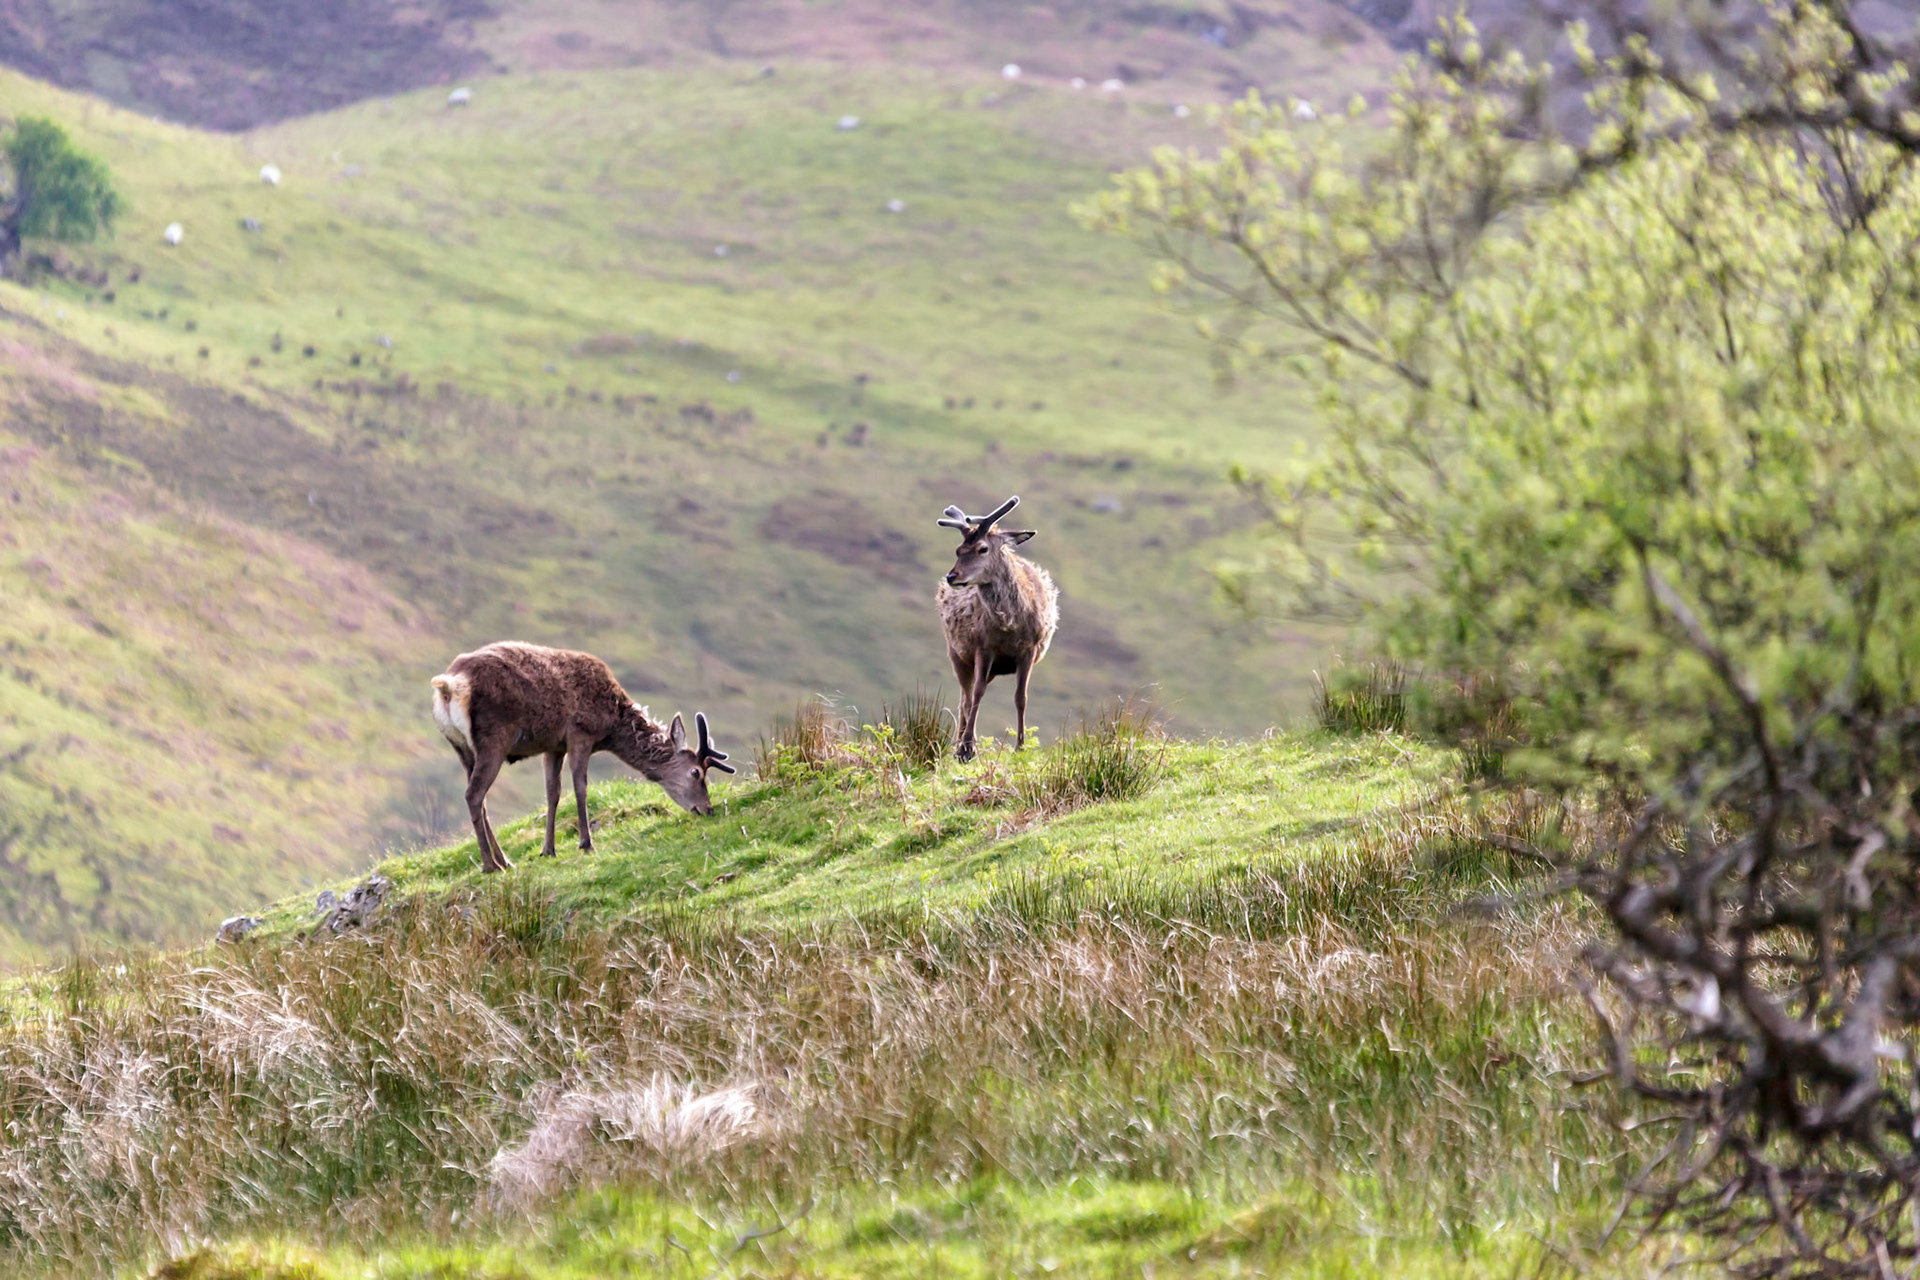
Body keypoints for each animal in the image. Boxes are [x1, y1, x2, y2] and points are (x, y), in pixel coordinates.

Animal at [430, 641, 735, 873]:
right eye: (696, 772)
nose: (708, 809)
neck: (611, 725)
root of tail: (448, 685)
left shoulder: (553, 745)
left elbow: (552, 794)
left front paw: (548, 850)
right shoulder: (580, 733)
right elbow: (580, 787)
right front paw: (586, 843)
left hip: (462, 748)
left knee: (479, 799)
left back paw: (504, 860)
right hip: (493, 739)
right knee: (473, 795)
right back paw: (489, 865)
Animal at [937, 495, 1060, 762]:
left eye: (982, 548)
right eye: (958, 550)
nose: (952, 576)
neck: (1011, 628)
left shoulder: (1029, 650)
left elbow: (1021, 697)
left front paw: (1021, 746)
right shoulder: (983, 647)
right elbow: (978, 694)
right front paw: (967, 748)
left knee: (966, 697)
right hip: (956, 653)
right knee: (965, 697)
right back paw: (959, 743)